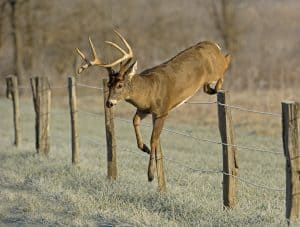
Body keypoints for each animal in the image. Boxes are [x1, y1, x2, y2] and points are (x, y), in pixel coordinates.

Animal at [76, 30, 231, 182]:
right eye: (109, 84)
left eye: (120, 85)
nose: (109, 103)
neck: (149, 91)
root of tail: (213, 44)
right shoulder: (143, 109)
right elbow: (134, 121)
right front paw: (144, 148)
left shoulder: (162, 111)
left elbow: (153, 139)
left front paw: (150, 174)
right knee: (211, 81)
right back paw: (212, 88)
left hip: (216, 69)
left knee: (227, 60)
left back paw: (218, 85)